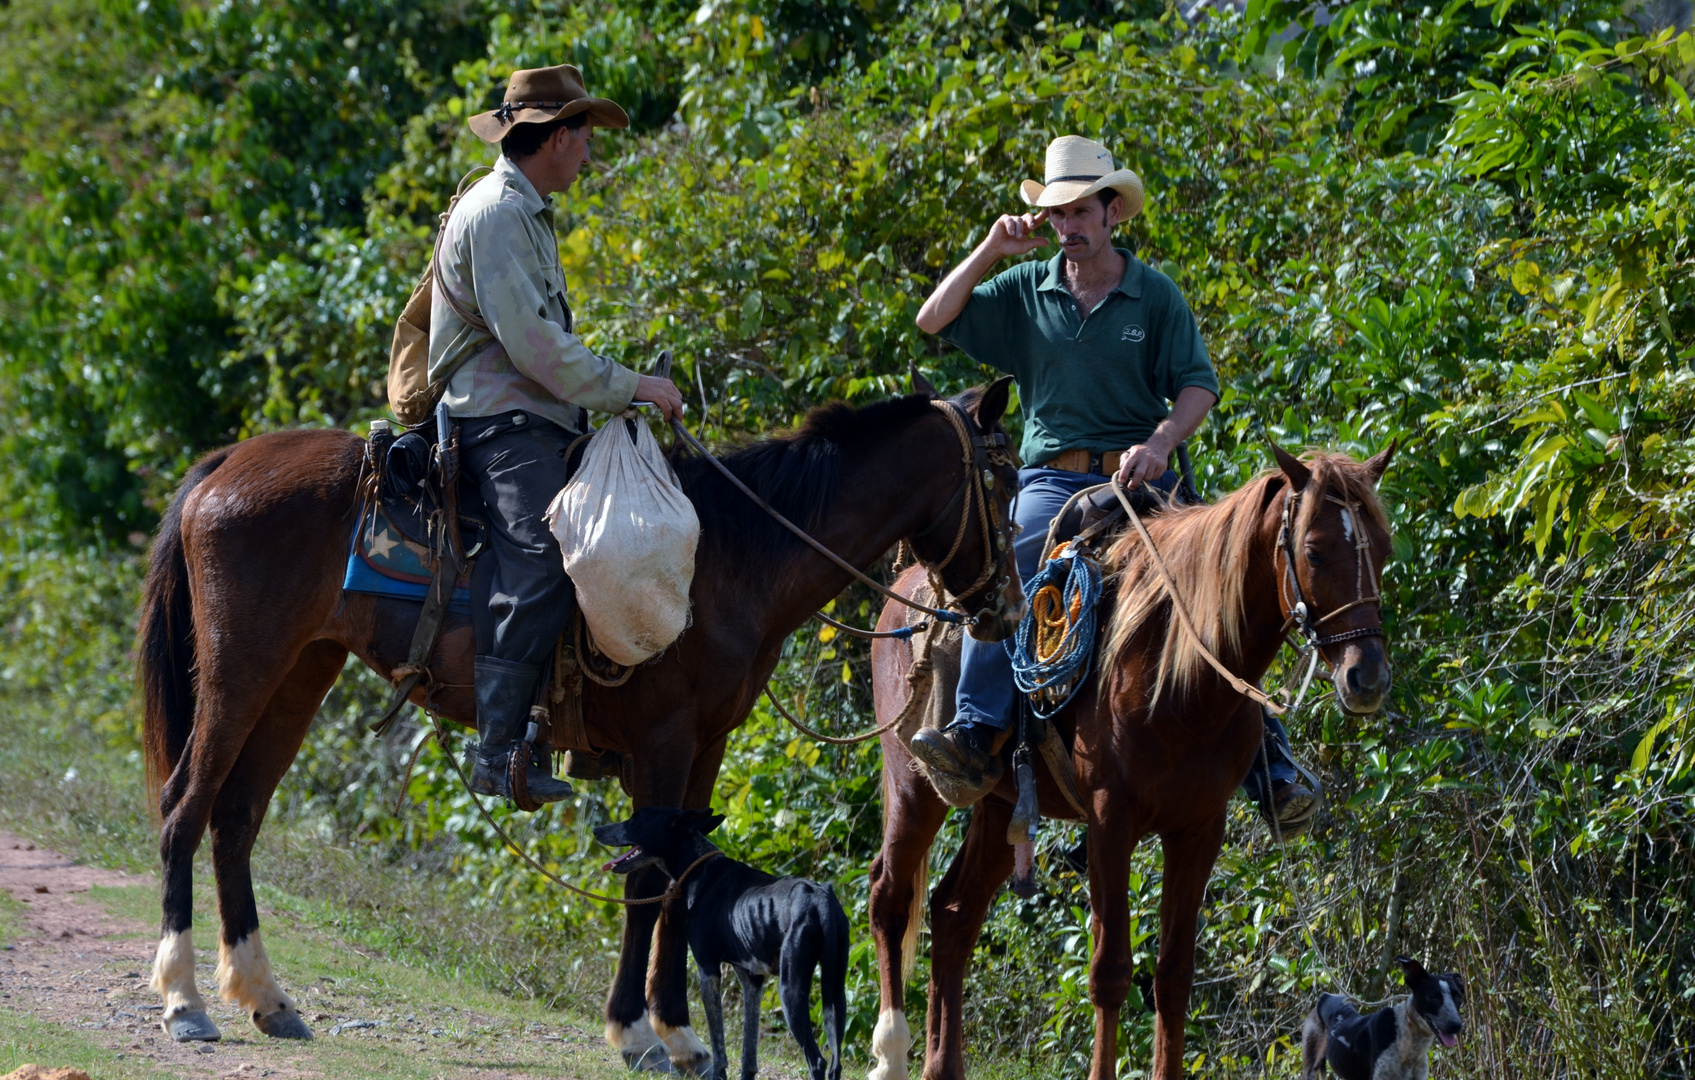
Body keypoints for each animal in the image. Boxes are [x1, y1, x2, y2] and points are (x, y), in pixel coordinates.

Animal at [603, 803, 854, 1071]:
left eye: (635, 820)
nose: (598, 830)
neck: (702, 867)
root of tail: (821, 900)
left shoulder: (708, 971)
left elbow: (719, 1048)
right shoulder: (752, 980)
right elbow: (749, 1055)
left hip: (791, 992)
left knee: (817, 1061)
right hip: (836, 995)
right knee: (835, 1063)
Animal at [867, 444, 1396, 1078]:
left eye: (1384, 550)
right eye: (1314, 550)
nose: (1367, 678)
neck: (1181, 675)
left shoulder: (1199, 828)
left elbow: (1173, 976)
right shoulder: (1109, 819)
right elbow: (1111, 971)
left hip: (997, 807)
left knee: (952, 917)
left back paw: (941, 1065)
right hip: (912, 789)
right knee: (890, 899)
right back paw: (890, 1052)